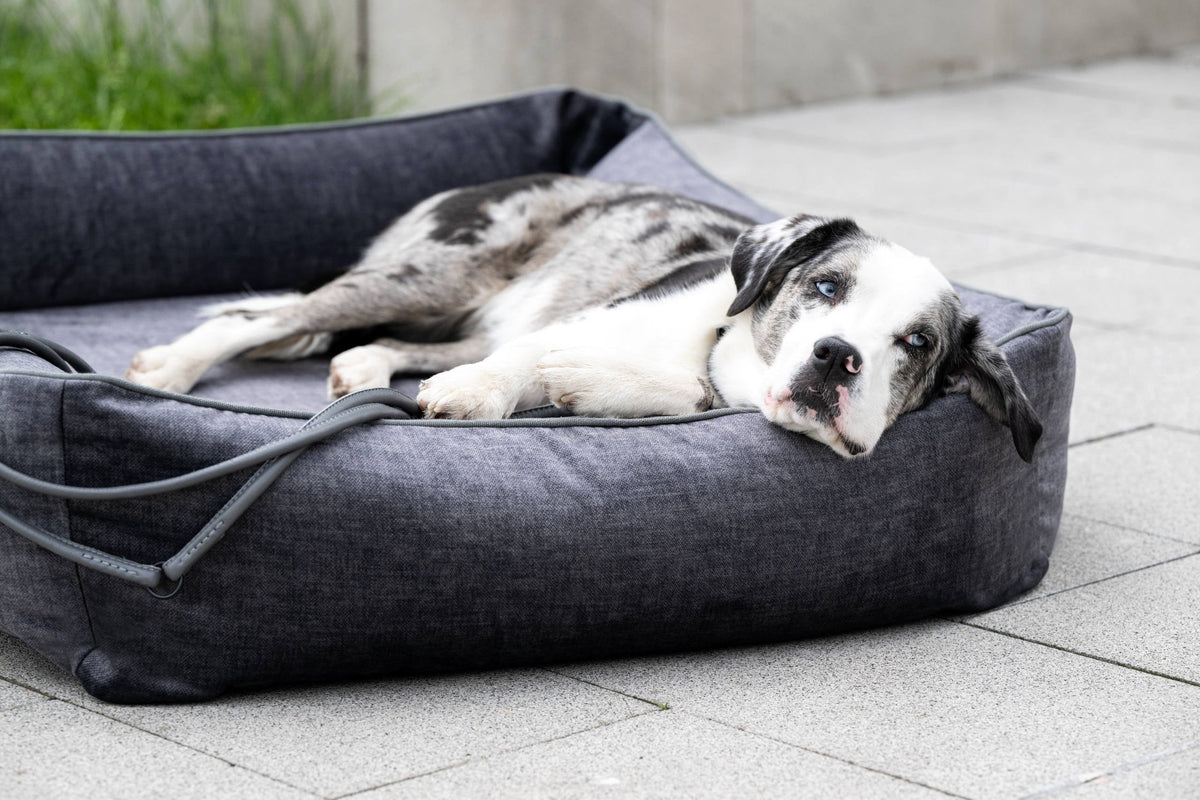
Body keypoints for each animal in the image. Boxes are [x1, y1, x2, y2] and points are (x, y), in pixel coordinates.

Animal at [124, 175, 1041, 462]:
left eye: (917, 342)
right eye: (824, 287)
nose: (836, 357)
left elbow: (666, 391)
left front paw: (590, 387)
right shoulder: (575, 325)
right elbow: (520, 366)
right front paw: (480, 397)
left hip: (459, 306)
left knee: (401, 345)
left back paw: (366, 367)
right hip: (428, 273)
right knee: (261, 314)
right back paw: (170, 366)